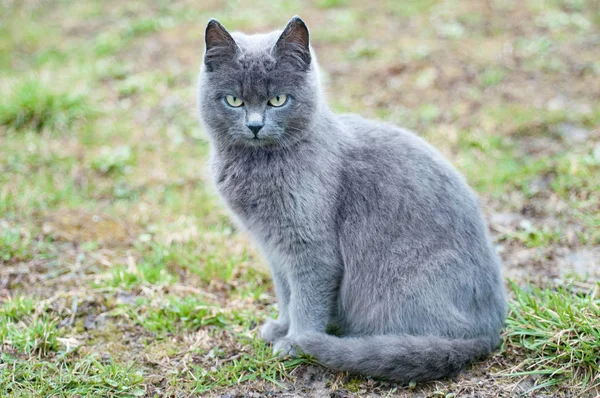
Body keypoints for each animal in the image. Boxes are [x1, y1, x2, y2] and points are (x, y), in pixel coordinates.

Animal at [197, 17, 506, 384]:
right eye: (233, 100)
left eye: (278, 100)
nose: (255, 125)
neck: (258, 166)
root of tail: (489, 333)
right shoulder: (274, 250)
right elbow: (286, 294)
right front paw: (281, 328)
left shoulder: (311, 250)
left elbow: (306, 301)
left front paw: (296, 342)